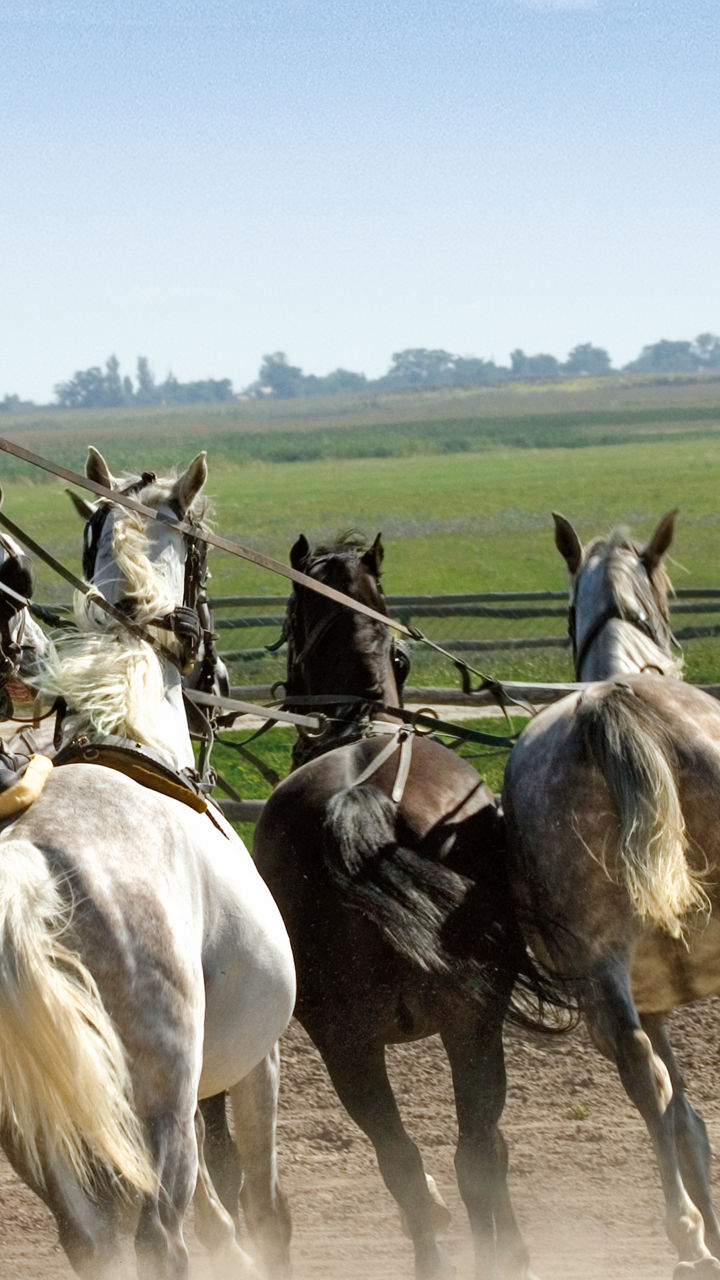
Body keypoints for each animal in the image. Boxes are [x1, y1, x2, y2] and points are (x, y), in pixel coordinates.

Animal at [0, 449, 296, 1279]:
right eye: (204, 560)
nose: (220, 683)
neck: (134, 735)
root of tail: (30, 865)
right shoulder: (254, 1063)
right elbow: (261, 1205)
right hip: (156, 1103)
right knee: (161, 1237)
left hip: (50, 1125)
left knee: (95, 1242)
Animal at [502, 510, 720, 1276]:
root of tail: (610, 709)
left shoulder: (647, 995)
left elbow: (683, 1118)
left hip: (601, 971)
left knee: (640, 1073)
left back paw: (686, 1234)